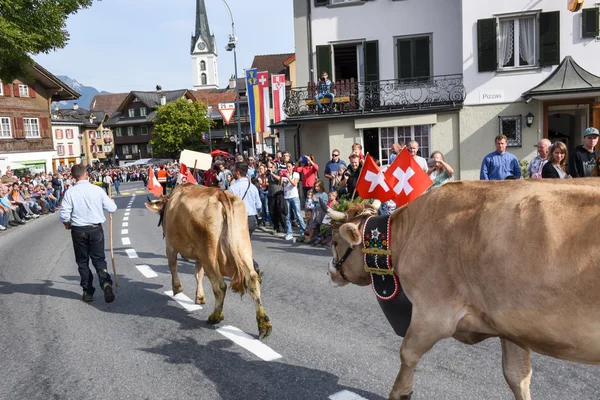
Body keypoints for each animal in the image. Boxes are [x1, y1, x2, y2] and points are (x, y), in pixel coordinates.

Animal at [147, 183, 272, 340]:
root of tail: (220, 194)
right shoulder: (199, 255)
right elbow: (198, 274)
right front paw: (200, 297)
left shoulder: (170, 245)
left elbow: (173, 265)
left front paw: (177, 288)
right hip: (242, 245)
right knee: (252, 279)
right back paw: (264, 325)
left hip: (209, 253)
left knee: (220, 286)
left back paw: (215, 316)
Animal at [326, 180, 600, 398]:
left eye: (335, 241)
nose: (330, 272)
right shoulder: (511, 328)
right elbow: (517, 376)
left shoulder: (433, 313)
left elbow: (407, 355)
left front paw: (401, 391)